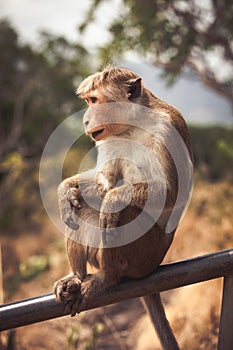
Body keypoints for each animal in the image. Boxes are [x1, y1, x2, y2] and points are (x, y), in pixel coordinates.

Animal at [54, 67, 193, 348]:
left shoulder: (167, 131)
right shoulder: (110, 139)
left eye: (94, 100)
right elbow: (100, 184)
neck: (133, 125)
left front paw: (112, 202)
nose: (86, 120)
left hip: (144, 255)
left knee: (123, 217)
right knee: (80, 208)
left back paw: (106, 279)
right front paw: (66, 190)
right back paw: (76, 275)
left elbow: (170, 193)